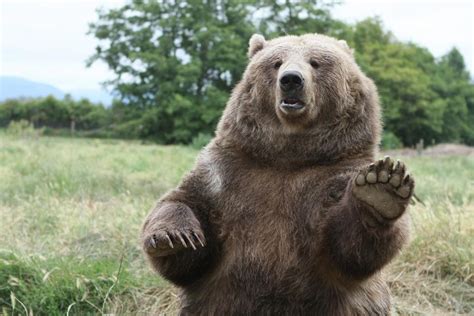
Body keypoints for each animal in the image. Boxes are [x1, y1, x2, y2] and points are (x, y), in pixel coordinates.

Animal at [142, 33, 414, 314]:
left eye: (315, 62)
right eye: (276, 62)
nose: (291, 79)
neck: (288, 157)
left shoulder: (336, 174)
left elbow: (349, 249)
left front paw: (381, 189)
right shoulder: (226, 175)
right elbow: (185, 209)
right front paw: (172, 237)